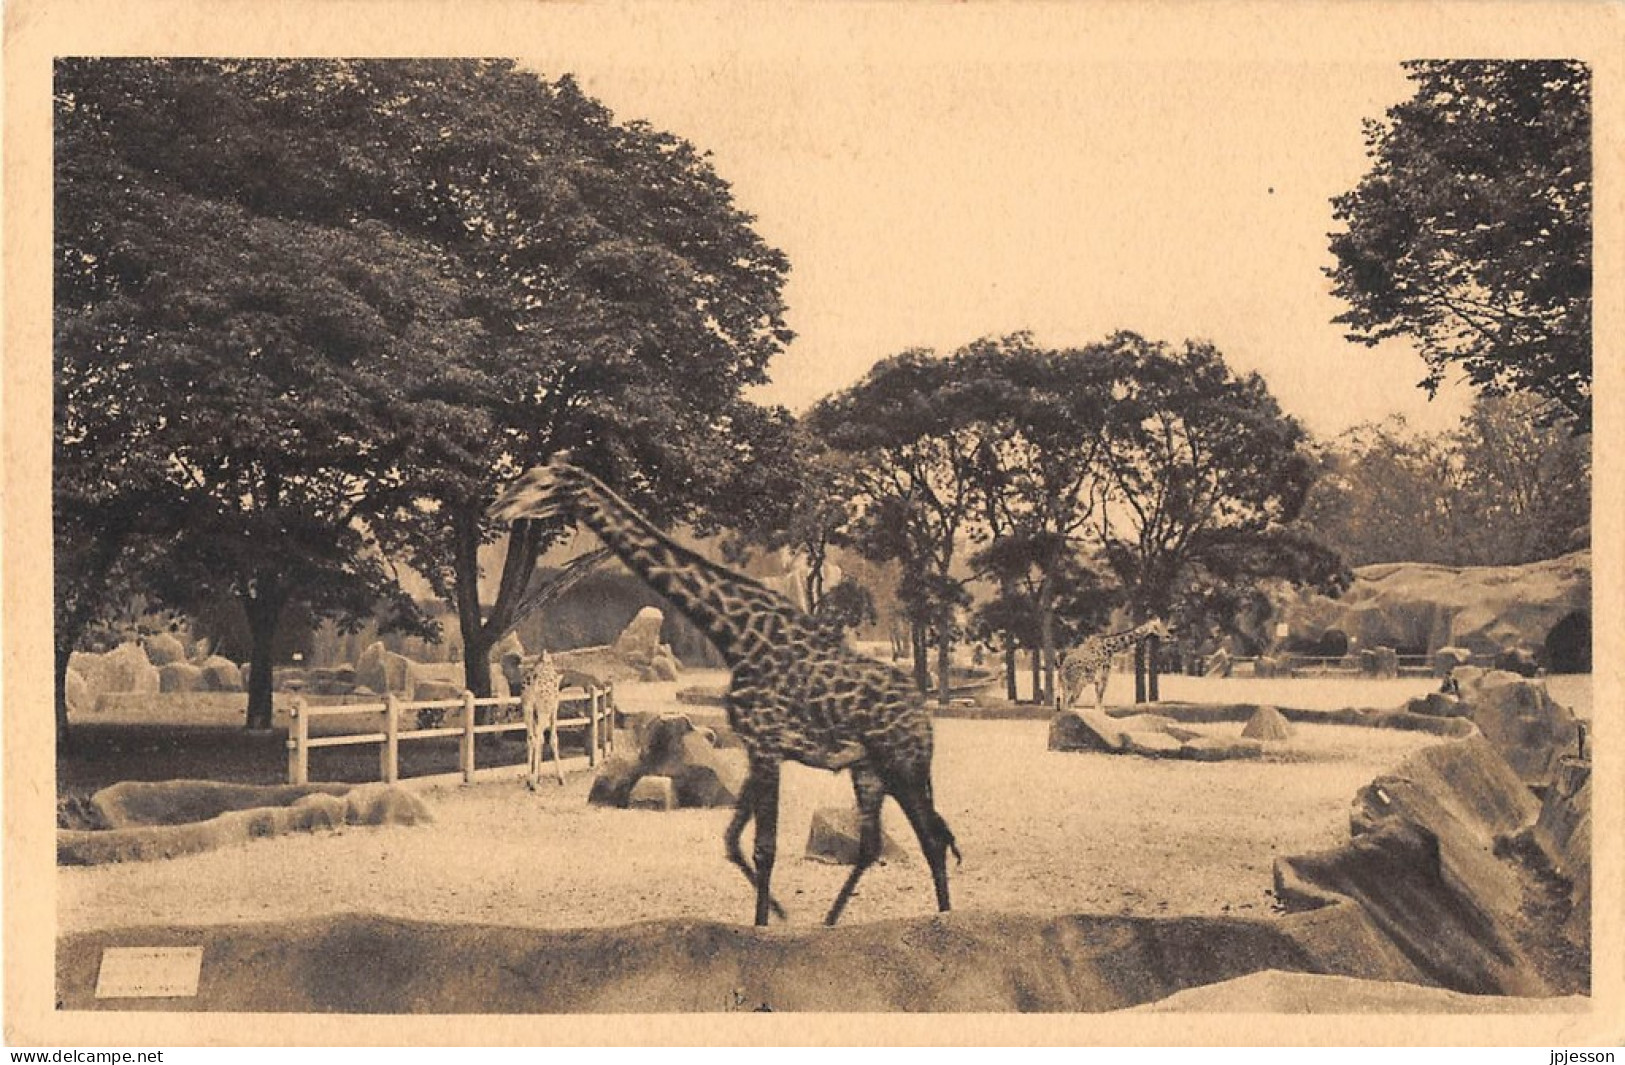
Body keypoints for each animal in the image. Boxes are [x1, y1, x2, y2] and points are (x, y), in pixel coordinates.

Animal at [526, 650, 572, 790]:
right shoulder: (554, 708)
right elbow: (553, 739)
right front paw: (561, 778)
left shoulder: (534, 714)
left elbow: (541, 740)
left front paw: (538, 777)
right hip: (543, 711)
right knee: (537, 738)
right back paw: (533, 784)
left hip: (527, 710)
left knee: (531, 738)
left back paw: (529, 780)